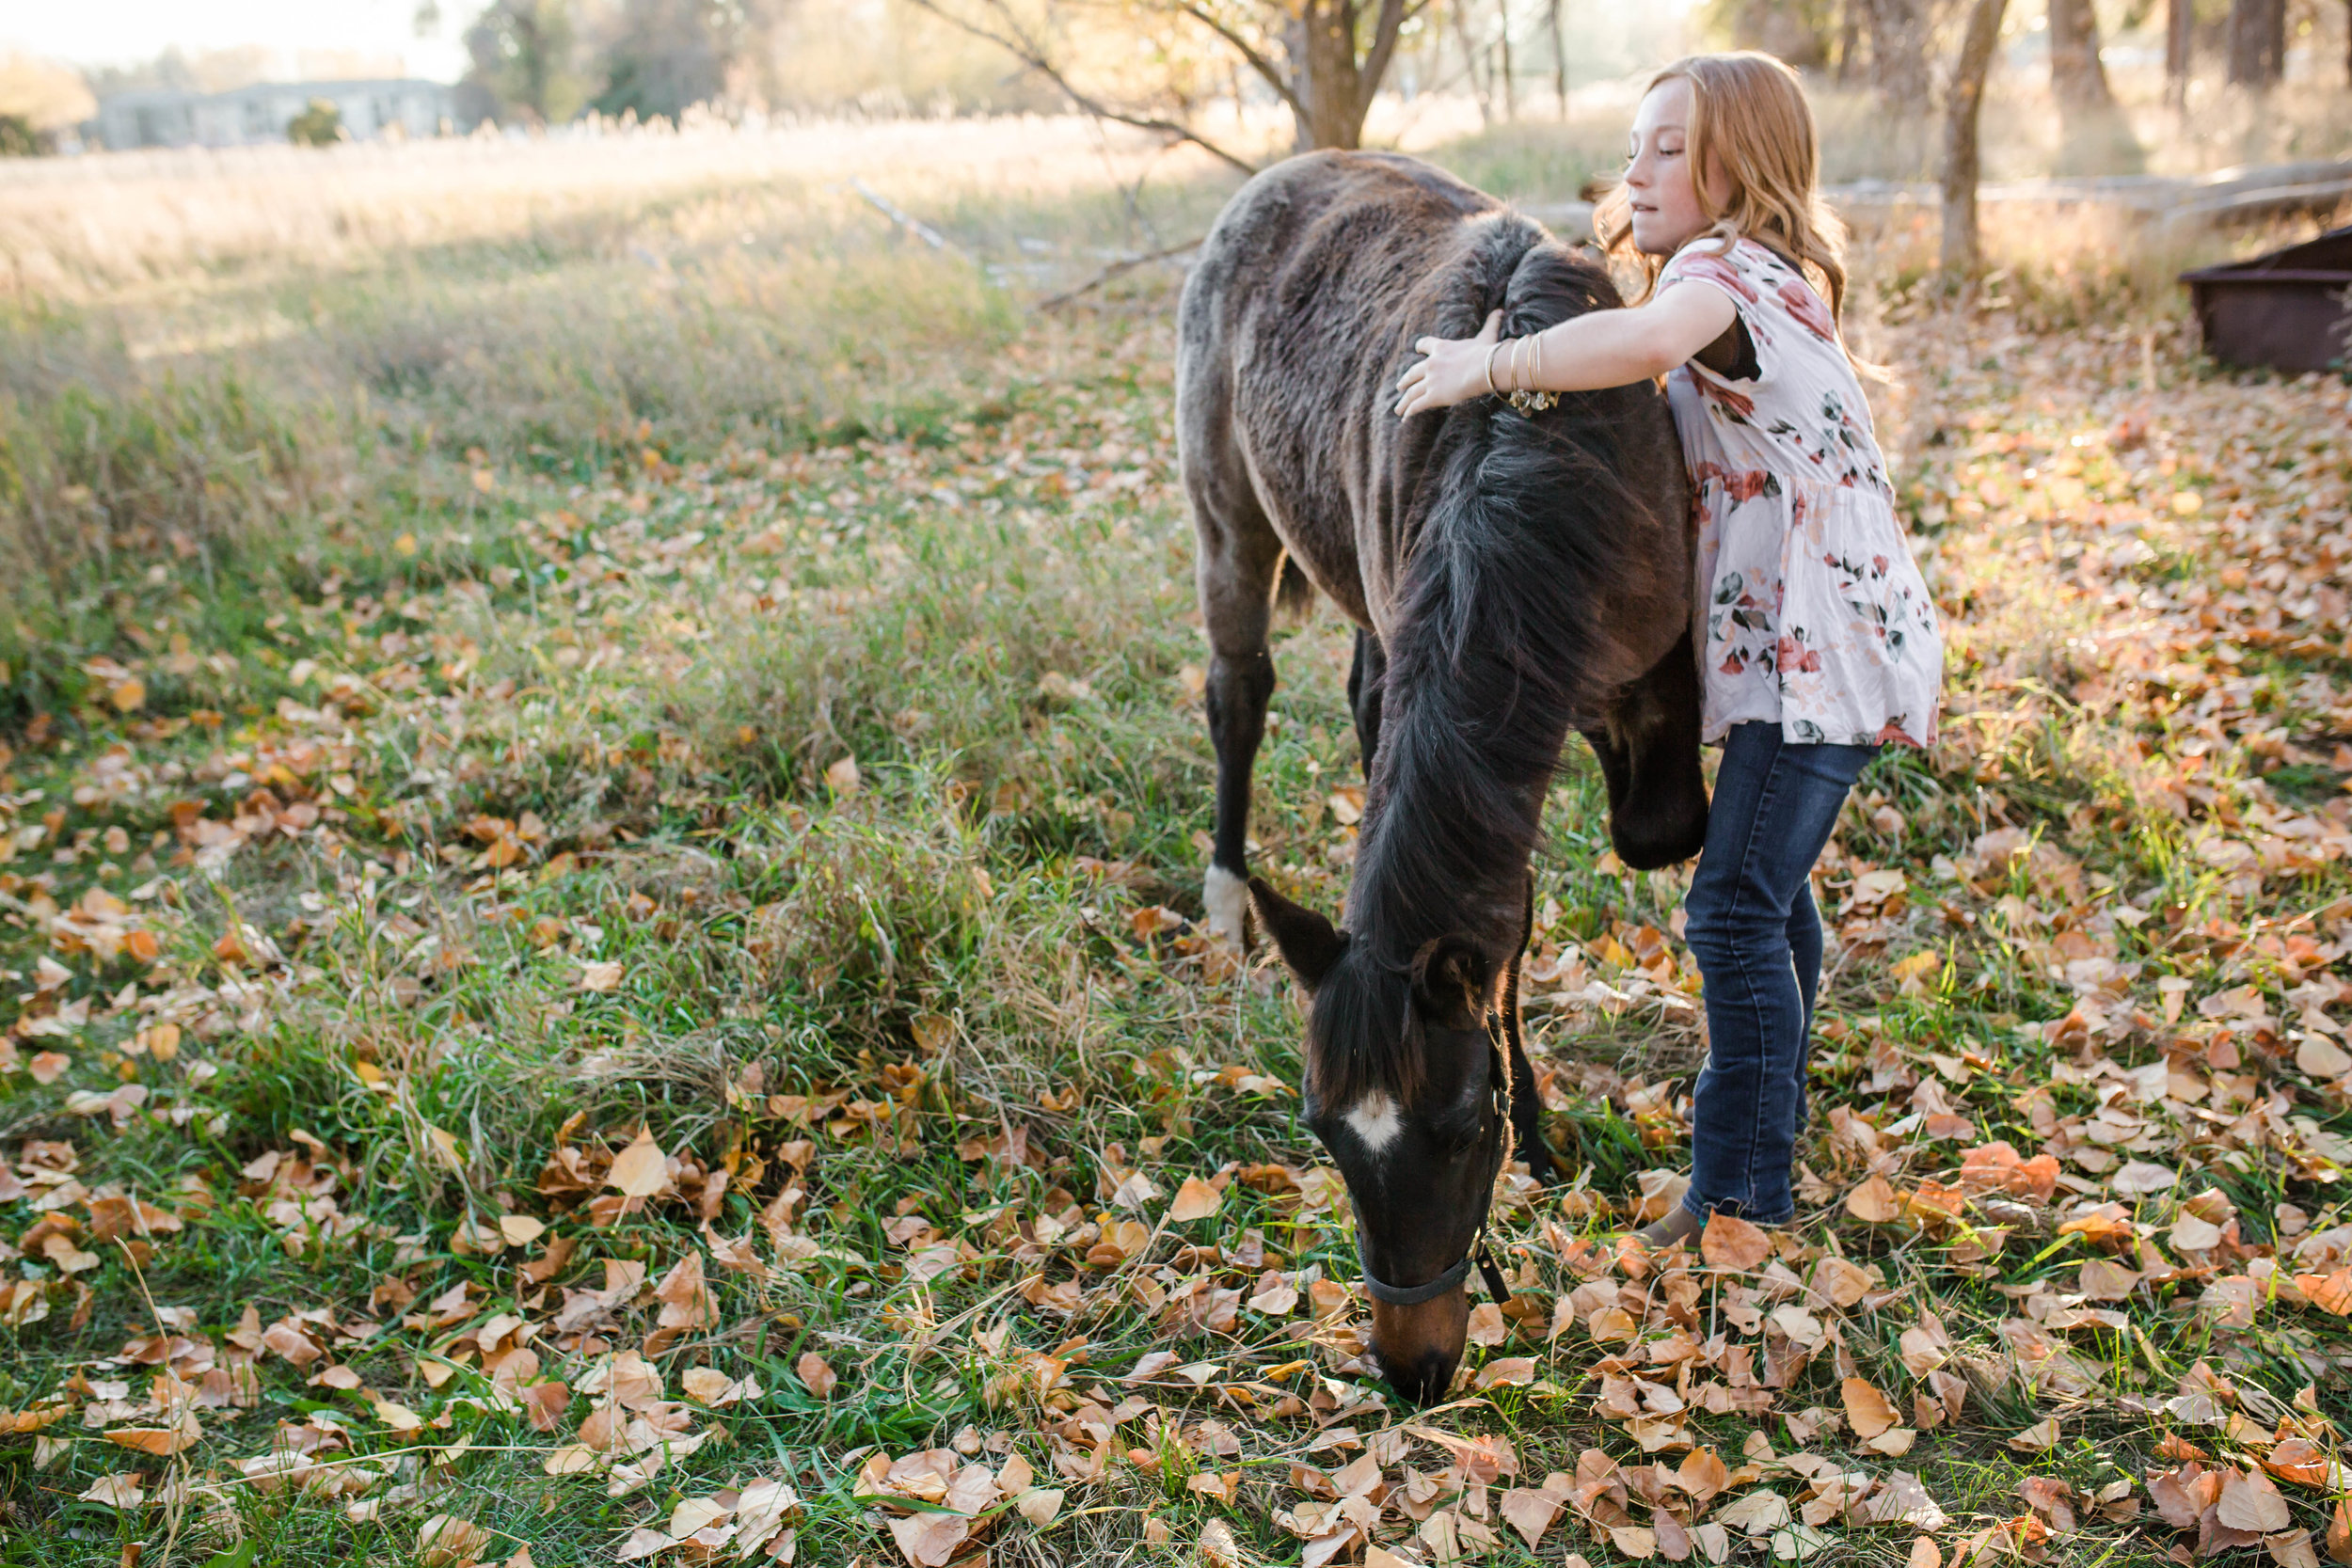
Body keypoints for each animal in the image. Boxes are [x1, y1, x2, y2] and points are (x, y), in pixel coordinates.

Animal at [1176, 152, 1712, 1410]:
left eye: (1466, 1126)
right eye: (1323, 1132)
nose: (1410, 1367)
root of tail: (1278, 178)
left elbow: (1624, 846)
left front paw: (1548, 1128)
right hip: (1228, 518)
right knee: (1239, 692)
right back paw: (1225, 891)